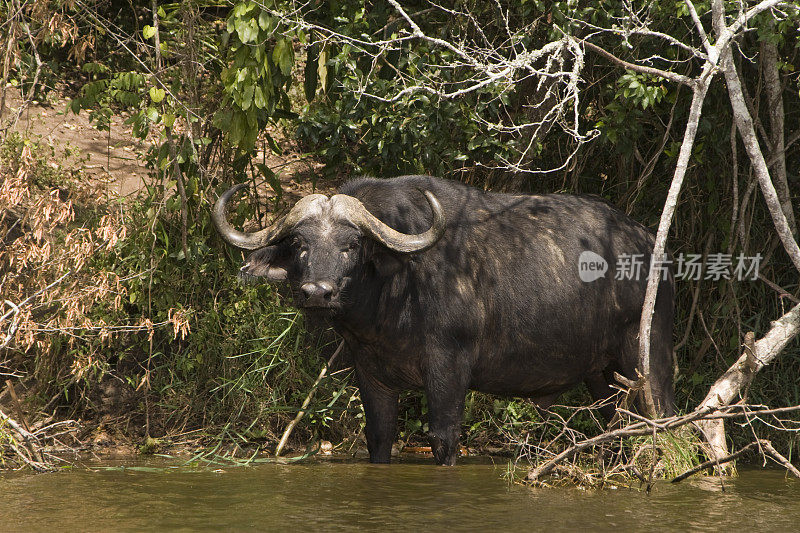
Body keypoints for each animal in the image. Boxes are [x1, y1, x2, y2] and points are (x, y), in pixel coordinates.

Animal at [209, 176, 672, 466]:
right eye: (299, 243)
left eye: (352, 244)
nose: (317, 293)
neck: (394, 299)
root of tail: (650, 244)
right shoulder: (370, 372)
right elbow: (380, 437)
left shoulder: (449, 365)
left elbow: (443, 439)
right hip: (600, 375)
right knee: (614, 425)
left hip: (648, 357)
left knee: (665, 417)